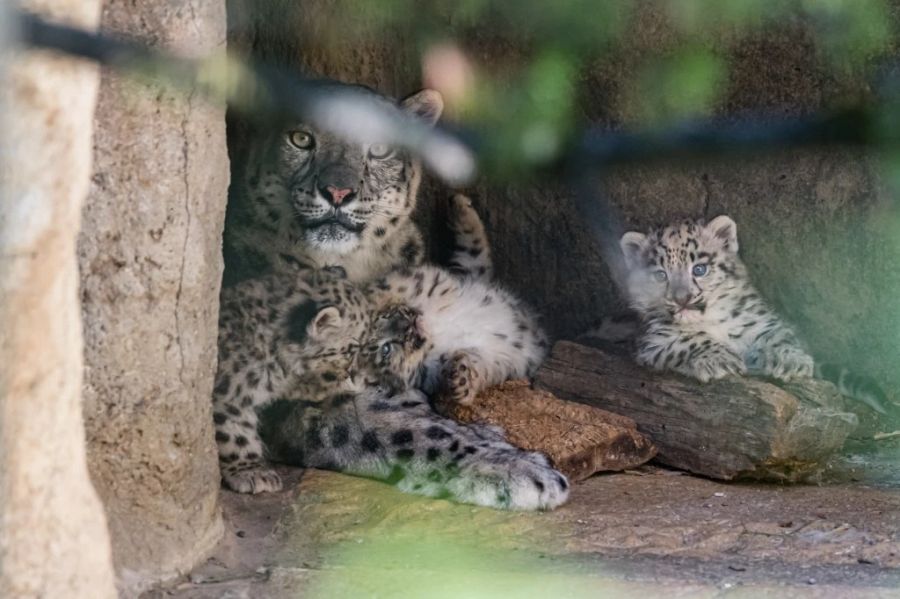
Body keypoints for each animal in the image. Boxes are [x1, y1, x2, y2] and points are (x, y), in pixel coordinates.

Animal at [620, 217, 884, 418]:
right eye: (660, 275)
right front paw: (720, 359)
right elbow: (689, 340)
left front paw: (790, 360)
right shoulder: (652, 340)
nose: (682, 298)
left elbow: (778, 336)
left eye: (699, 269)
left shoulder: (762, 319)